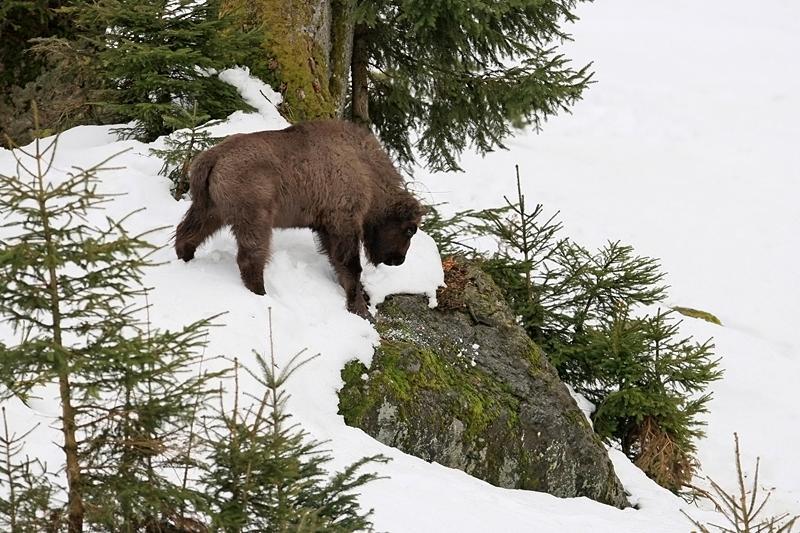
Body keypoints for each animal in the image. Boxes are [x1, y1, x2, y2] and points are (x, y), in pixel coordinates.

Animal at [175, 119, 424, 316]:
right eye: (410, 229)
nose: (398, 259)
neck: (366, 171)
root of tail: (214, 156)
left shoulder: (326, 228)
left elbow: (339, 264)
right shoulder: (343, 223)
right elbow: (351, 266)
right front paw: (360, 309)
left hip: (210, 211)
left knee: (186, 235)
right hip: (255, 219)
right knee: (251, 258)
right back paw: (262, 294)